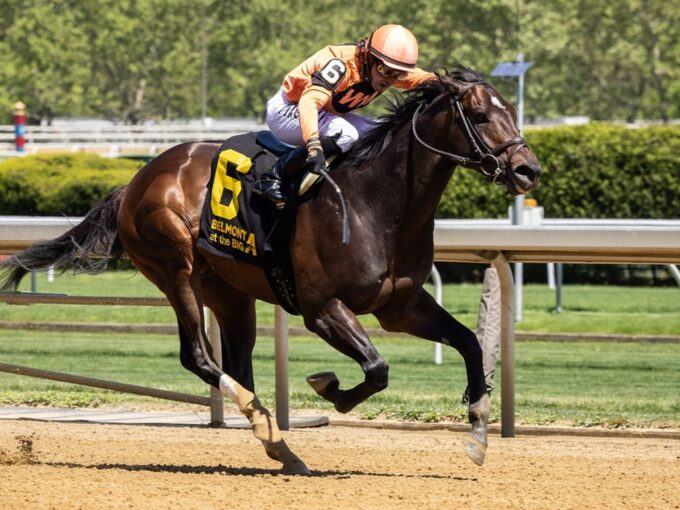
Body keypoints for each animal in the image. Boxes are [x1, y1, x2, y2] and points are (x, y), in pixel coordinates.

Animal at [1, 66, 540, 474]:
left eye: (512, 111)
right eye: (478, 114)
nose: (527, 170)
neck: (376, 203)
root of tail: (137, 179)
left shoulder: (401, 305)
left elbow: (468, 342)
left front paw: (478, 429)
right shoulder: (322, 308)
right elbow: (377, 368)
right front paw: (330, 388)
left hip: (229, 290)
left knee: (236, 366)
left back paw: (279, 443)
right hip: (174, 267)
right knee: (199, 357)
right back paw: (267, 427)